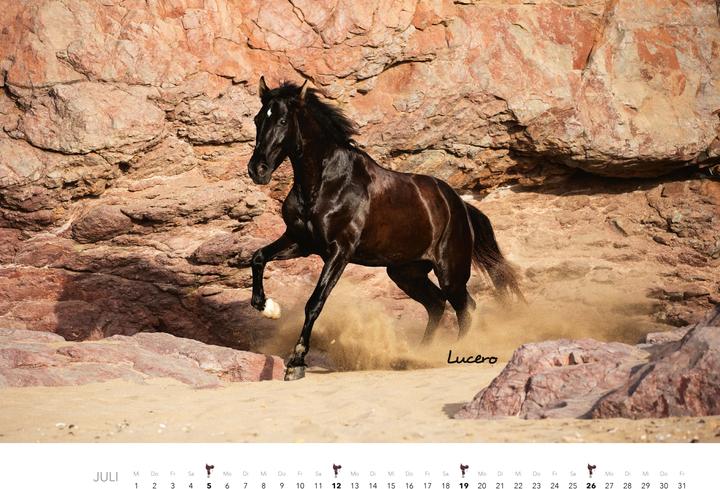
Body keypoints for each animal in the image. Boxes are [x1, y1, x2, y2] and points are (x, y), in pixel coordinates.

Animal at [247, 77, 523, 381]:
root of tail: (460, 205)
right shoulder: (300, 242)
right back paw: (415, 356)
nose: (257, 170)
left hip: (450, 271)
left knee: (465, 308)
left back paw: (453, 353)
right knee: (437, 304)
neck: (324, 184)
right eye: (258, 119)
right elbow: (258, 257)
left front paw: (296, 364)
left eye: (283, 120)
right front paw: (267, 307)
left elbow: (314, 302)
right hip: (405, 272)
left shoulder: (339, 252)